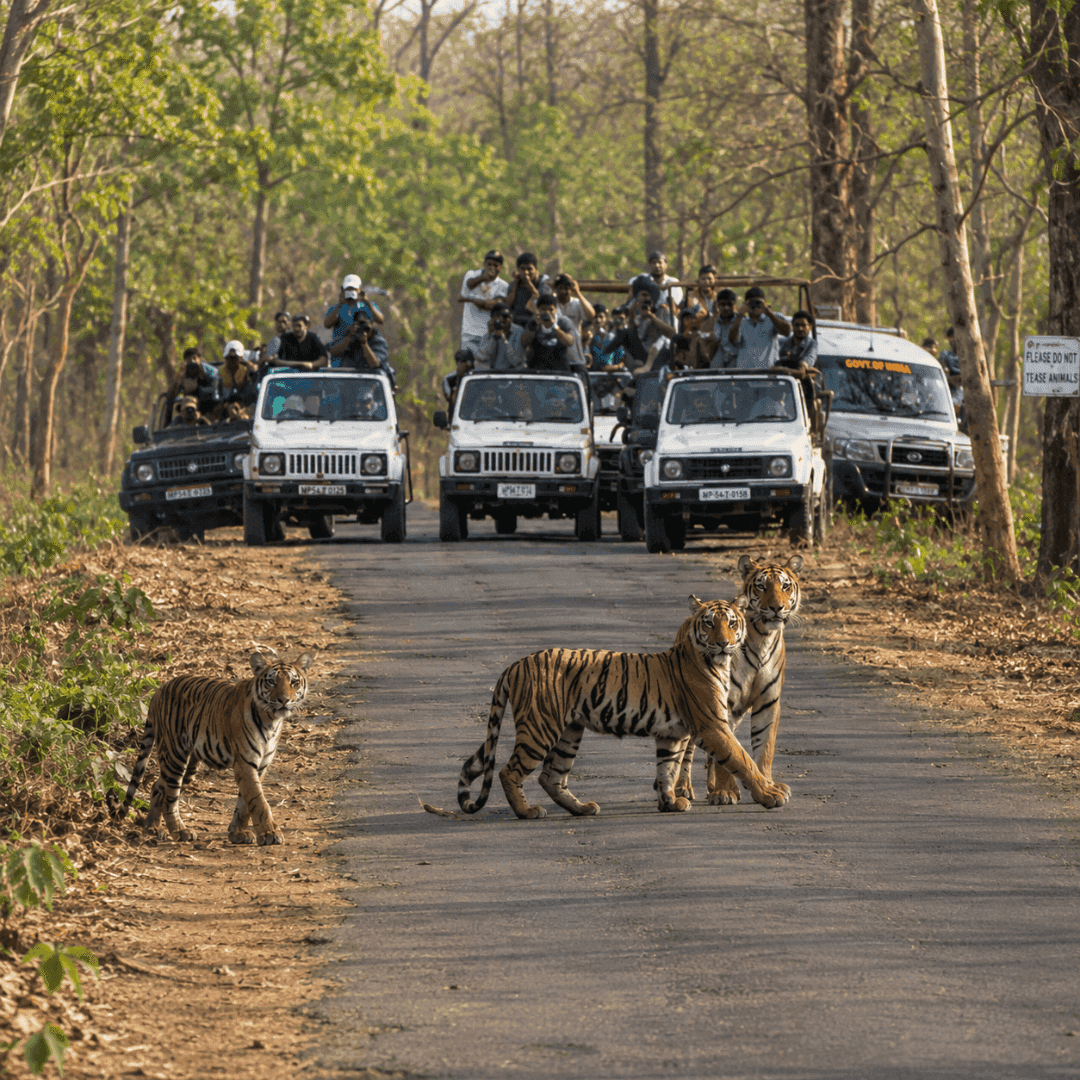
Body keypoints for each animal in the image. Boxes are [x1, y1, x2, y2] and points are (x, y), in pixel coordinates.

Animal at [116, 651, 313, 845]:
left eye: (294, 682)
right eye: (271, 681)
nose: (284, 700)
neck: (272, 721)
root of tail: (159, 689)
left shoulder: (260, 765)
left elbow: (245, 803)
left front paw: (238, 833)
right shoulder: (245, 763)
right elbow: (258, 800)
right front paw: (269, 833)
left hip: (187, 765)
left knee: (158, 786)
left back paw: (153, 827)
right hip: (174, 755)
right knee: (170, 797)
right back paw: (180, 831)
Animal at [456, 595, 791, 820]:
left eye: (732, 623)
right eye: (709, 623)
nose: (723, 643)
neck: (718, 663)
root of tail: (515, 664)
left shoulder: (672, 734)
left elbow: (667, 768)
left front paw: (670, 803)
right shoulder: (713, 726)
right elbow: (742, 759)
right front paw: (771, 795)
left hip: (569, 732)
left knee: (550, 777)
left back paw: (583, 808)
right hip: (541, 727)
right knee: (509, 771)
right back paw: (527, 811)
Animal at [672, 554, 803, 805]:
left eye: (785, 586)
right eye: (762, 586)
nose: (776, 608)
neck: (763, 637)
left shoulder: (768, 702)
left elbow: (764, 747)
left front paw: (767, 784)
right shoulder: (723, 702)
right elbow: (728, 753)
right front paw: (725, 792)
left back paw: (710, 788)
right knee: (687, 750)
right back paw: (684, 789)